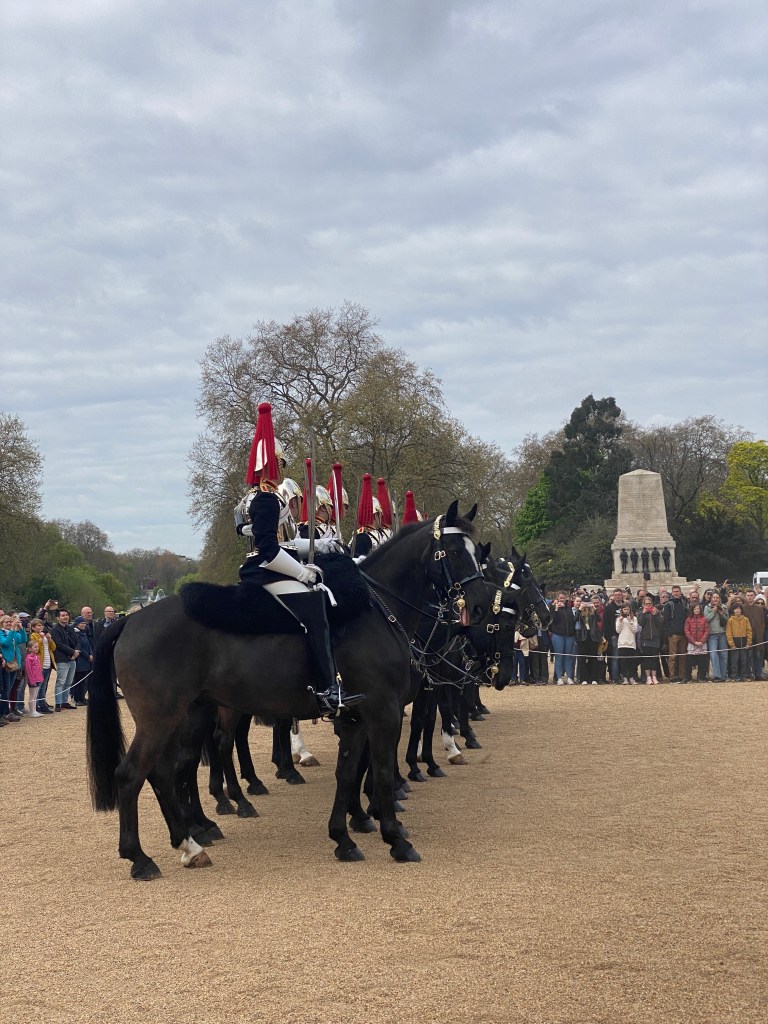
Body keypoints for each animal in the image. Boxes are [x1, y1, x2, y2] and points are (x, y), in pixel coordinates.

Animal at [86, 502, 489, 879]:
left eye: (475, 551)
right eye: (453, 550)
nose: (480, 606)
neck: (376, 612)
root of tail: (130, 619)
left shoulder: (357, 716)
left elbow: (348, 772)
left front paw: (344, 838)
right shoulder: (383, 711)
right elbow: (383, 770)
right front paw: (395, 837)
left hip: (186, 713)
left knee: (167, 771)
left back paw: (191, 842)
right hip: (164, 717)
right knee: (134, 773)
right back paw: (143, 857)